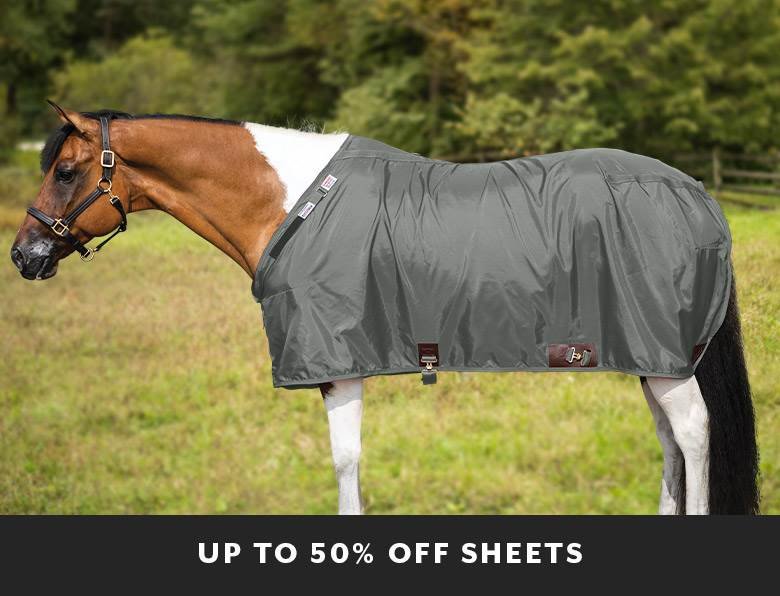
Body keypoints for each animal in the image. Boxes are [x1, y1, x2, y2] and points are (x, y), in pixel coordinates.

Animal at [10, 102, 759, 515]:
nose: (23, 255)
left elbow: (345, 462)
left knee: (693, 433)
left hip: (667, 358)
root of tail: (697, 193)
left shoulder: (338, 364)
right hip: (651, 356)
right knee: (670, 441)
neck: (293, 202)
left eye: (67, 171)